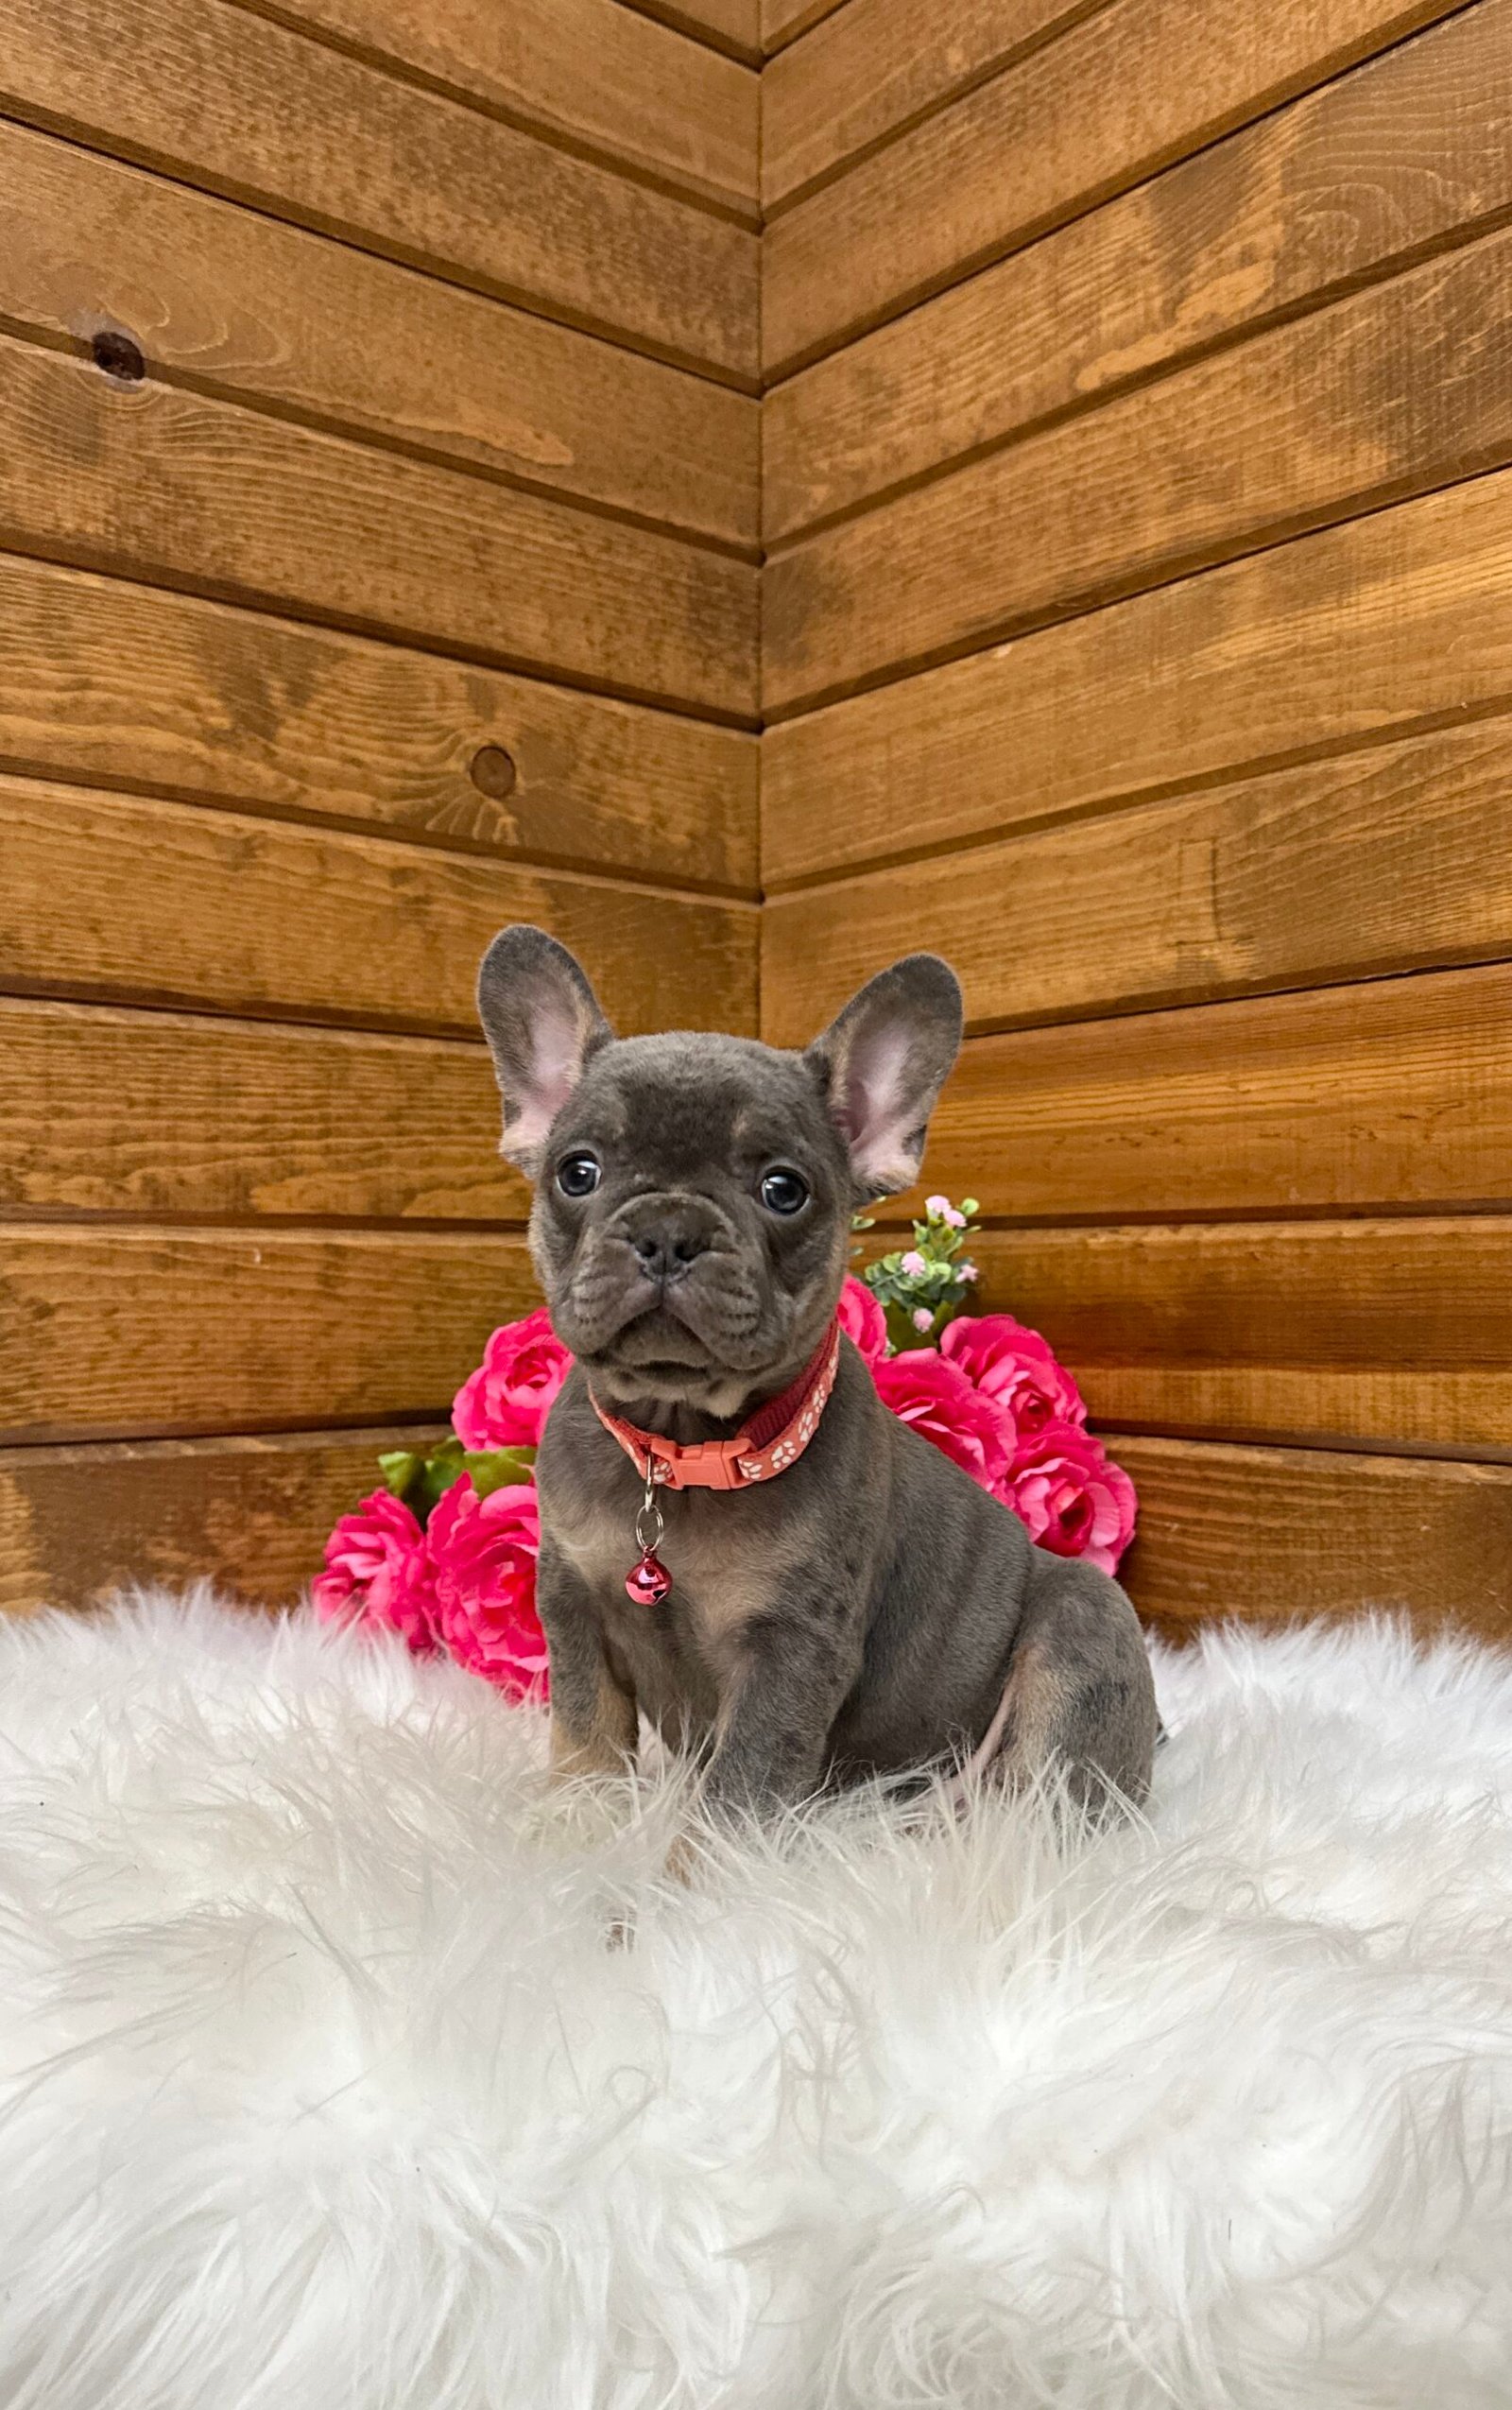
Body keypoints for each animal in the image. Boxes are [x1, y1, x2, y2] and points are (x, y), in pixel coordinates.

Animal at [476, 926, 1158, 1821]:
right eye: (577, 1172)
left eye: (783, 1189)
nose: (668, 1229)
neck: (680, 1447)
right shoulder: (575, 1606)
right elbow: (586, 1741)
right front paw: (577, 1829)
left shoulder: (791, 1652)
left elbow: (736, 1795)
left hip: (1084, 1624)